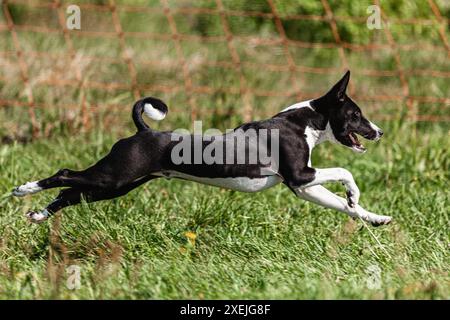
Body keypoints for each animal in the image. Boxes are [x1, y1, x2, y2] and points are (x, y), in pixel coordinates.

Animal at [12, 70, 392, 225]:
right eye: (356, 115)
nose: (379, 131)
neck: (301, 123)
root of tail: (143, 131)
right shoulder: (301, 175)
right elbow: (345, 170)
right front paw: (354, 192)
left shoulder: (304, 187)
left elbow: (346, 207)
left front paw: (375, 218)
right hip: (112, 177)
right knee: (64, 176)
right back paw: (23, 189)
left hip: (116, 186)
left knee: (70, 193)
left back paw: (38, 215)